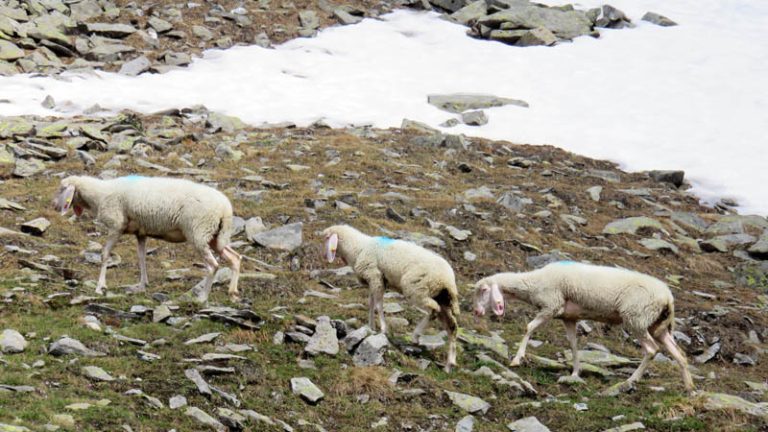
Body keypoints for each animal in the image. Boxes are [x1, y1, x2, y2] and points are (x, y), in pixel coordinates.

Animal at [52, 174, 240, 302]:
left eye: (62, 189)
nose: (53, 206)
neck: (99, 195)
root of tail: (226, 209)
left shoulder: (116, 226)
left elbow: (105, 254)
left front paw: (100, 286)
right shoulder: (140, 233)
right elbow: (141, 257)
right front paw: (142, 285)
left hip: (199, 233)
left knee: (213, 266)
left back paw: (202, 297)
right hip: (214, 236)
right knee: (235, 258)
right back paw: (232, 292)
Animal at [320, 223, 460, 372]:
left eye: (327, 238)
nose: (324, 255)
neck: (358, 247)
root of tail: (448, 279)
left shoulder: (375, 277)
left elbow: (378, 304)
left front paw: (382, 328)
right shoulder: (372, 281)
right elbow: (371, 304)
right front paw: (371, 326)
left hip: (416, 288)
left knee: (433, 310)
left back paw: (416, 336)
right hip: (442, 298)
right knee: (451, 326)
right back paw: (449, 364)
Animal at [474, 260, 696, 394]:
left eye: (483, 290)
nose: (476, 312)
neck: (532, 283)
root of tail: (668, 298)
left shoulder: (551, 306)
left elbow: (528, 327)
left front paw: (517, 359)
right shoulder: (568, 317)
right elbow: (573, 344)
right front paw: (574, 373)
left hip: (636, 319)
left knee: (651, 350)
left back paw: (630, 381)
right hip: (658, 326)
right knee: (679, 354)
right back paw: (689, 387)